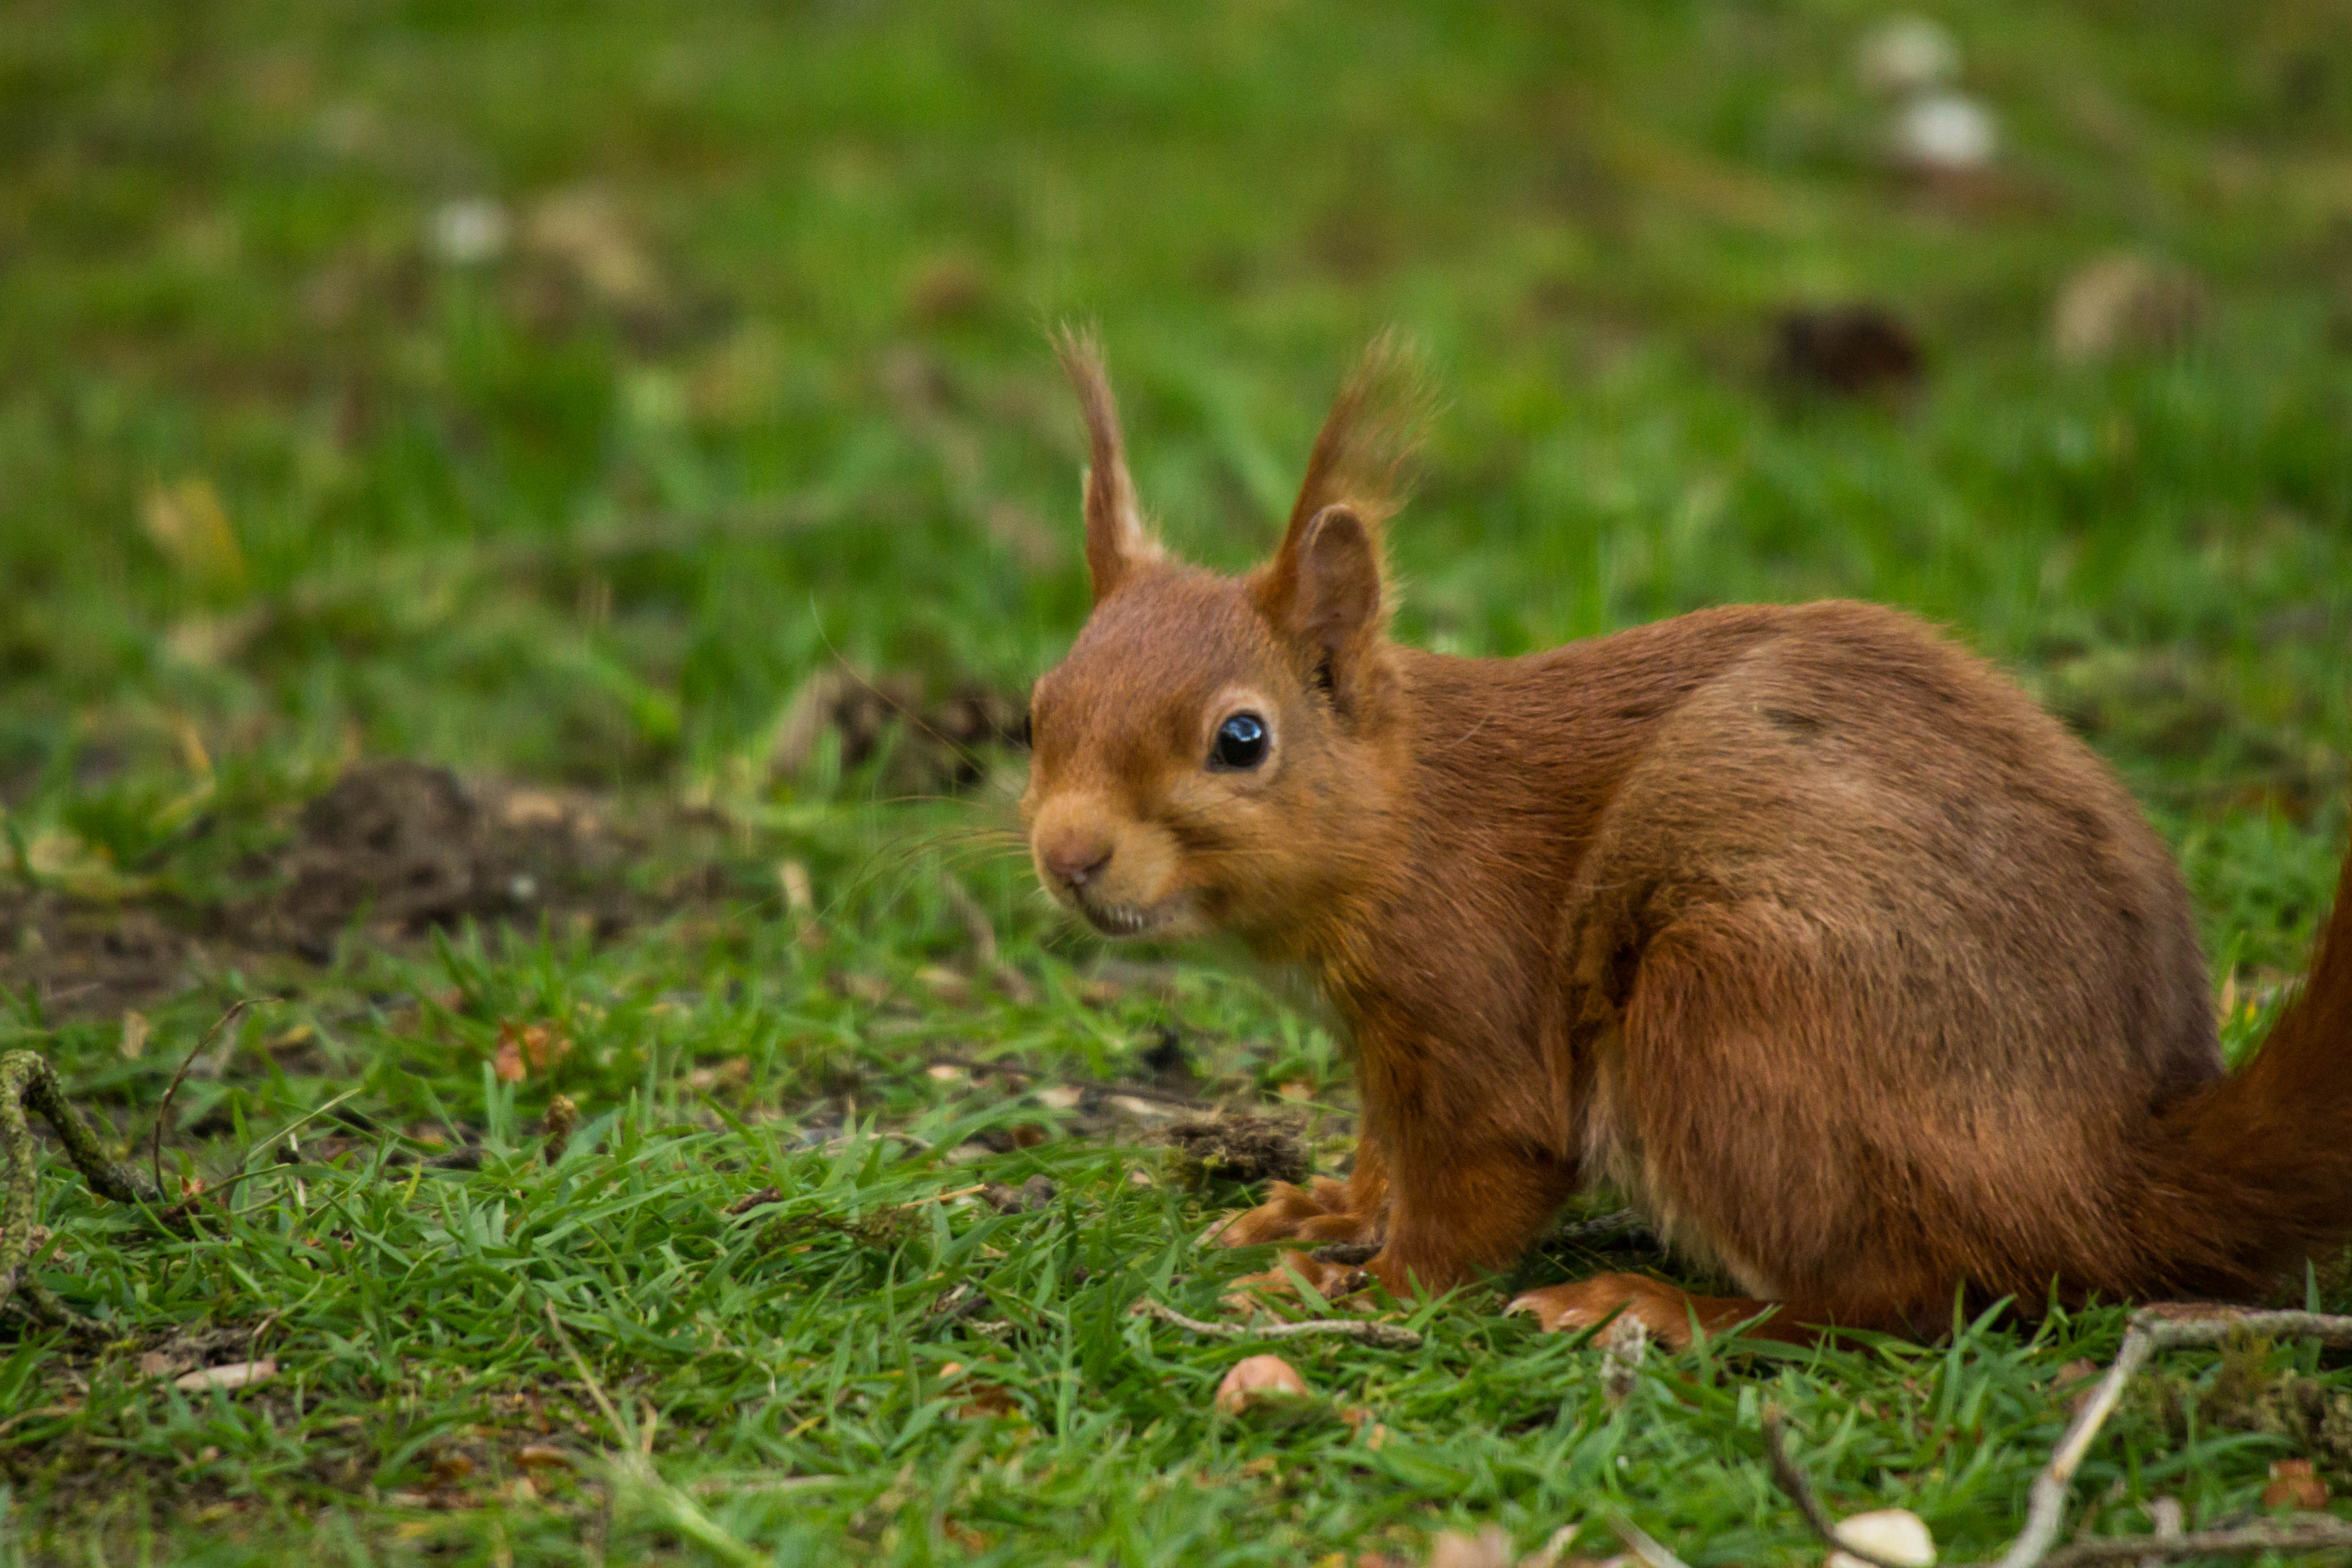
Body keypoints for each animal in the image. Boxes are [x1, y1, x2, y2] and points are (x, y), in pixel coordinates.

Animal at [1020, 331, 2352, 1346]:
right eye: (1038, 707)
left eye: (1241, 738)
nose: (1067, 855)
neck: (1401, 818)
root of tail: (2100, 1173)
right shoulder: (1382, 1047)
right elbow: (1387, 1151)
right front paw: (1325, 1211)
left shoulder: (1466, 985)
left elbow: (1477, 1185)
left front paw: (1368, 1286)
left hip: (1727, 1010)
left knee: (1895, 1296)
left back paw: (1654, 1305)